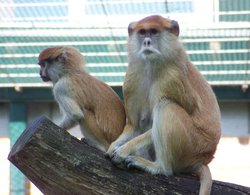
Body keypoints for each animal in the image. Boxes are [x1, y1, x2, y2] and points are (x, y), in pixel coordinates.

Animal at [106, 15, 222, 195]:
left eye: (154, 32)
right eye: (142, 32)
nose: (147, 42)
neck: (151, 66)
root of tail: (203, 158)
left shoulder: (171, 79)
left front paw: (123, 151)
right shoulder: (132, 78)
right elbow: (135, 127)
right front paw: (113, 146)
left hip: (193, 145)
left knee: (166, 106)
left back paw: (159, 167)